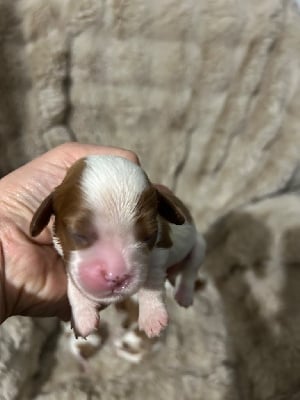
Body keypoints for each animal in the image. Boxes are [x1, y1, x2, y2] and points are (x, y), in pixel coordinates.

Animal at [29, 155, 205, 340]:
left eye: (149, 235)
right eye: (78, 234)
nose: (117, 277)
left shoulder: (160, 248)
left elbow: (152, 280)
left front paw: (152, 316)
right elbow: (74, 285)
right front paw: (82, 316)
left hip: (199, 246)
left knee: (191, 270)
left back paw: (184, 295)